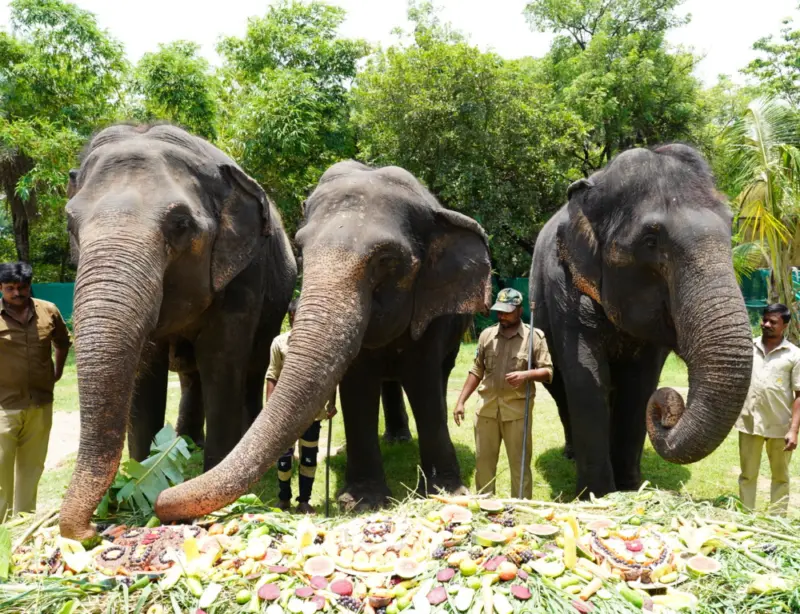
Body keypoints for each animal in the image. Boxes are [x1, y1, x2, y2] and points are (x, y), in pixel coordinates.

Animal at [59, 123, 297, 541]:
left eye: (181, 225)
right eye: (71, 223)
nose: (88, 532)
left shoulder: (243, 275)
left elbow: (221, 362)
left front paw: (211, 478)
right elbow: (147, 374)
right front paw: (136, 483)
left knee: (248, 372)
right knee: (190, 376)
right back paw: (186, 442)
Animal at [155, 160, 492, 520]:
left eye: (387, 260)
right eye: (301, 252)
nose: (161, 498)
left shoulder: (431, 313)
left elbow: (423, 379)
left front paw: (447, 493)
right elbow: (358, 385)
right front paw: (363, 501)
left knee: (439, 375)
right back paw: (396, 440)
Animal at [529, 144, 753, 499]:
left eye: (732, 228)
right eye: (650, 242)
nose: (668, 410)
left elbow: (640, 385)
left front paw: (630, 489)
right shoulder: (562, 286)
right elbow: (585, 374)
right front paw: (597, 495)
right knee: (560, 388)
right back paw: (570, 454)